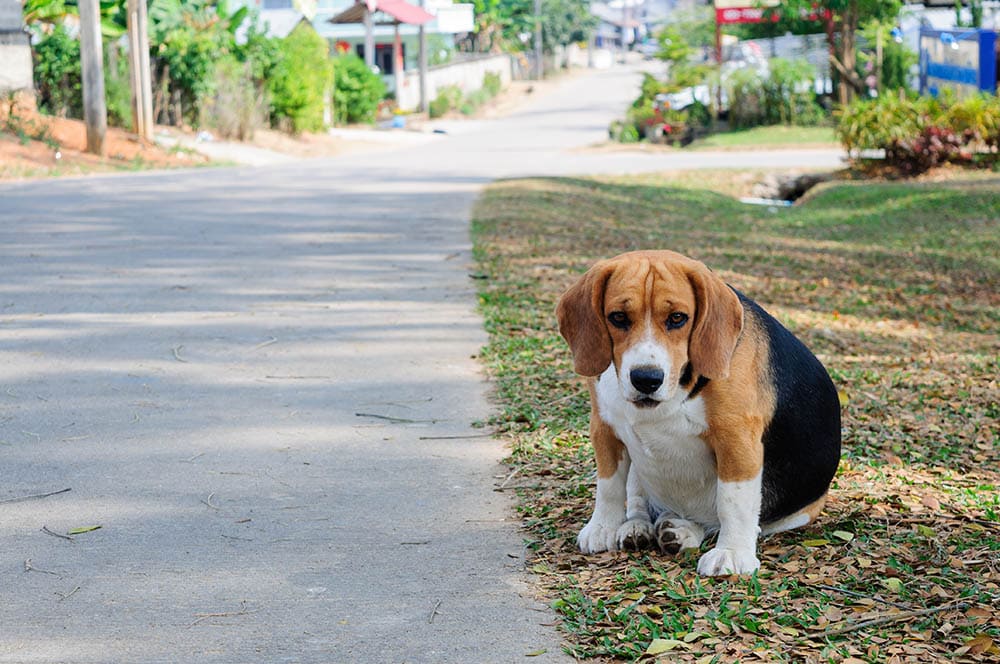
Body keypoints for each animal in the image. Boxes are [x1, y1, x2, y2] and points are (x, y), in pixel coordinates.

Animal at [560, 250, 840, 576]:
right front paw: (603, 526)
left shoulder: (737, 439)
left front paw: (732, 553)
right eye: (618, 317)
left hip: (799, 512)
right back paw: (639, 528)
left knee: (722, 522)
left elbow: (733, 502)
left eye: (677, 318)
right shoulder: (604, 429)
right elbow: (608, 486)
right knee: (640, 501)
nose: (646, 379)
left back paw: (682, 532)